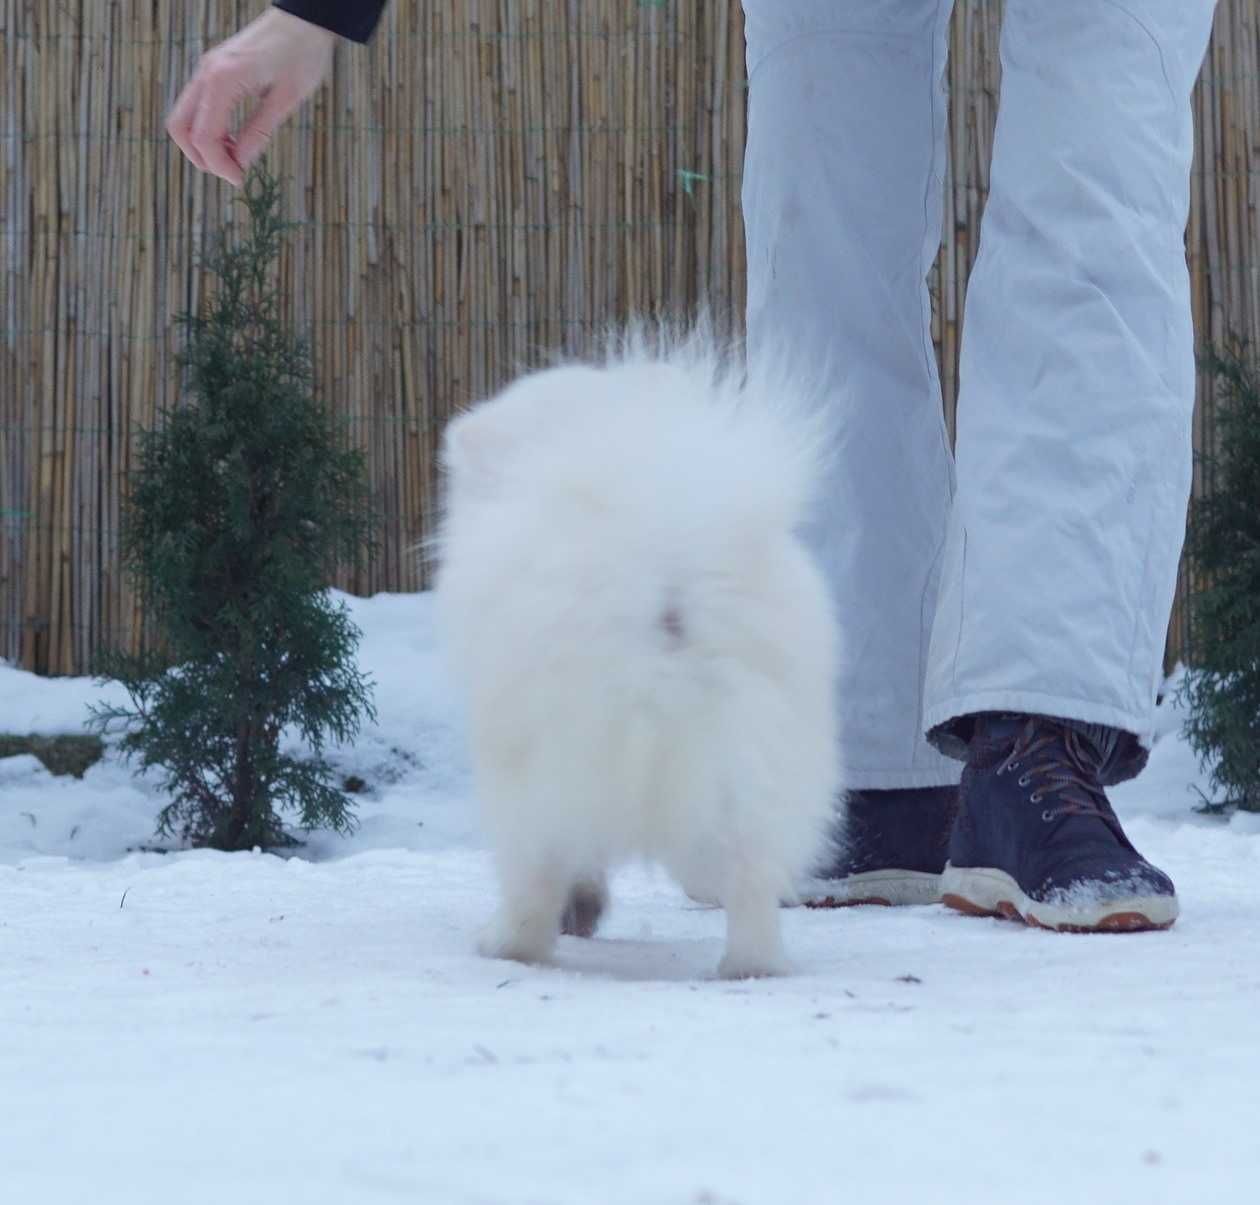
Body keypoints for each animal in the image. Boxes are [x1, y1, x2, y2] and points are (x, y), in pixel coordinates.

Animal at [433, 332, 836, 978]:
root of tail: (666, 575)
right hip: (761, 754)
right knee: (751, 873)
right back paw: (749, 963)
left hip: (535, 766)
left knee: (534, 869)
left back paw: (507, 944)